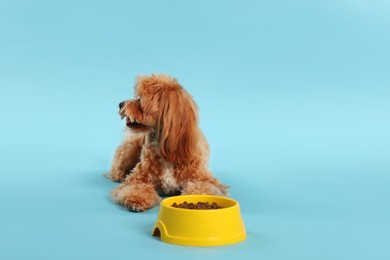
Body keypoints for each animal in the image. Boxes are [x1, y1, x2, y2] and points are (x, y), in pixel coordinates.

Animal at [106, 74, 229, 212]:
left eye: (140, 99)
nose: (120, 104)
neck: (166, 146)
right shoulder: (138, 178)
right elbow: (134, 187)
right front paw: (136, 199)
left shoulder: (204, 179)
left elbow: (201, 189)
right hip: (128, 152)